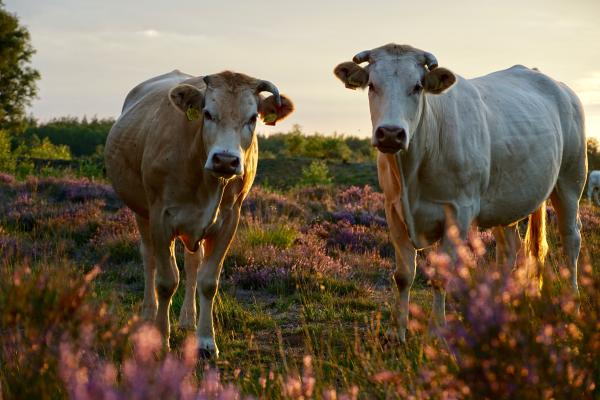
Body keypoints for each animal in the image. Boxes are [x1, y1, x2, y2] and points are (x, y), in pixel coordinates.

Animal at [106, 69, 296, 356]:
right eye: (207, 113)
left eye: (252, 118)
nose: (226, 160)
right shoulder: (161, 217)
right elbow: (166, 281)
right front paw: (161, 339)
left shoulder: (229, 221)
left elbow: (208, 281)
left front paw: (206, 341)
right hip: (142, 212)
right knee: (149, 258)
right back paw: (149, 315)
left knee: (193, 262)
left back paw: (188, 319)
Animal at [336, 43, 588, 340]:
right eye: (372, 85)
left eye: (417, 87)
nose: (390, 133)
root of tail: (556, 84)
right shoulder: (393, 209)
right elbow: (403, 275)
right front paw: (397, 332)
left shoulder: (459, 211)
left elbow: (440, 276)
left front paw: (436, 331)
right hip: (506, 201)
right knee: (509, 251)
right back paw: (501, 307)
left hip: (570, 180)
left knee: (570, 238)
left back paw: (572, 302)